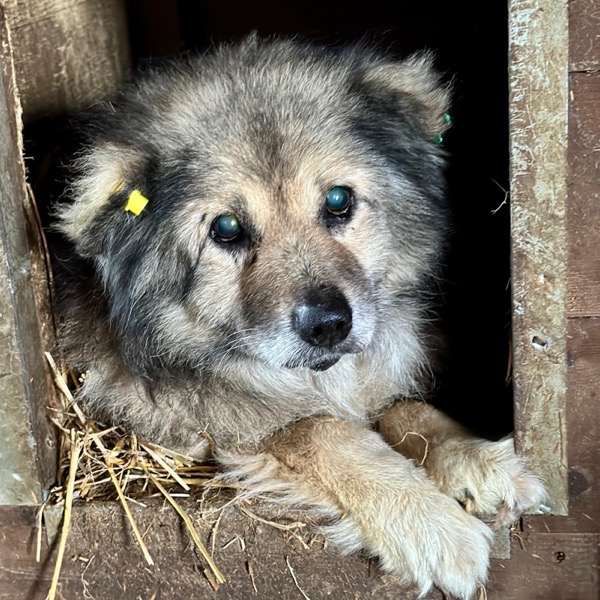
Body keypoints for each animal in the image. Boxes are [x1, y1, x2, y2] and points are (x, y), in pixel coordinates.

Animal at [54, 35, 546, 598]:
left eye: (337, 200)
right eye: (226, 228)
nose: (328, 325)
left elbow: (407, 410)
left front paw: (476, 458)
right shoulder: (212, 426)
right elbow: (319, 430)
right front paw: (431, 521)